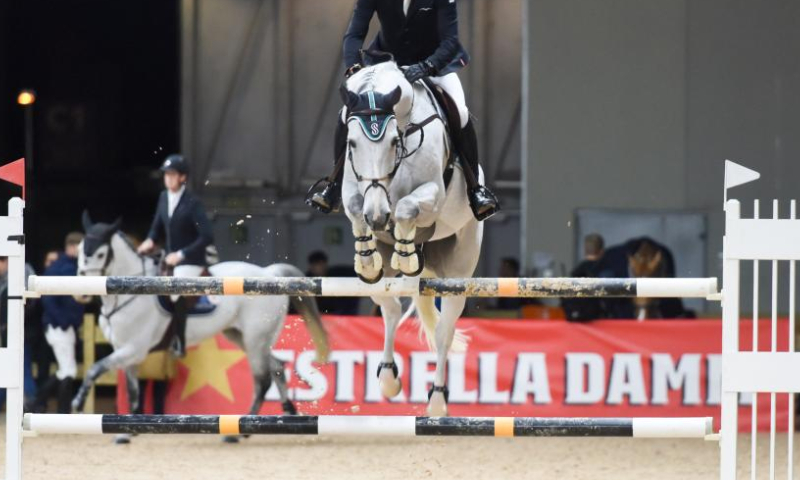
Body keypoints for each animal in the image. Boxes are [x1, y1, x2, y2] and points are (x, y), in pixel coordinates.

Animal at [75, 213, 329, 441]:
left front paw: (78, 402)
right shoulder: (128, 353)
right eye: (79, 250)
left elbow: (94, 369)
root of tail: (269, 273)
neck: (128, 294)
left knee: (262, 379)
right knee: (276, 366)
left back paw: (243, 429)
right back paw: (286, 412)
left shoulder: (133, 349)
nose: (81, 294)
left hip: (255, 338)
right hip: (242, 336)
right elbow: (133, 391)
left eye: (100, 254)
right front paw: (129, 431)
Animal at [339, 60, 484, 416]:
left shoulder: (431, 195)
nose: (378, 218)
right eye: (352, 144)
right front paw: (367, 259)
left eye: (394, 141)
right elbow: (355, 206)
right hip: (384, 285)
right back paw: (388, 379)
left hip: (458, 273)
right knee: (390, 308)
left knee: (444, 331)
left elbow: (406, 207)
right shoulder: (352, 190)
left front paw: (405, 255)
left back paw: (437, 401)